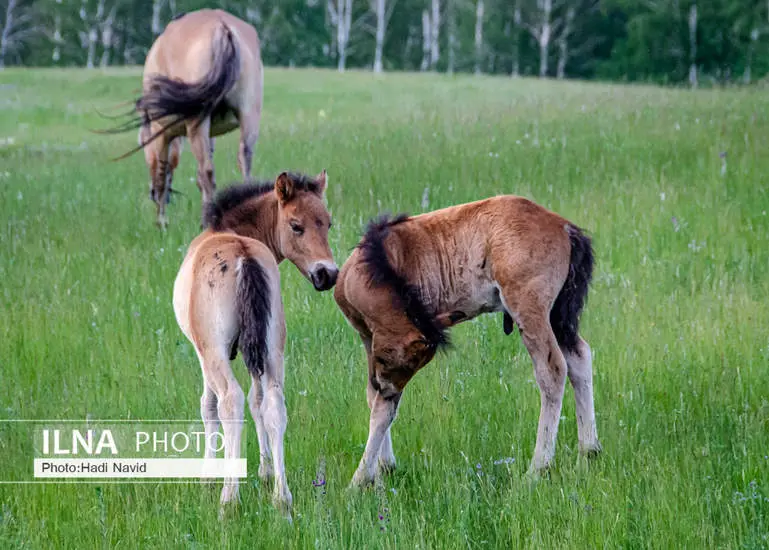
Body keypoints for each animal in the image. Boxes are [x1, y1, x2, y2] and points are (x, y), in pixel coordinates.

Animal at [124, 8, 262, 229]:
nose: (150, 193)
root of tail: (223, 29)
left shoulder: (161, 133)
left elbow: (162, 175)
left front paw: (162, 222)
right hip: (249, 117)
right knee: (245, 162)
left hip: (197, 123)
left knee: (207, 172)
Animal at [176, 172, 338, 516]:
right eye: (296, 225)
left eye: (328, 224)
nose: (328, 274)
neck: (232, 231)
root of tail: (243, 256)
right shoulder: (258, 349)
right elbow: (258, 401)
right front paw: (265, 472)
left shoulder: (202, 351)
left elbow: (209, 406)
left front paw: (207, 478)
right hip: (273, 347)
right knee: (274, 404)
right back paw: (282, 497)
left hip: (216, 353)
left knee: (231, 402)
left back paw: (229, 499)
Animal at [334, 196, 600, 490]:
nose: (390, 388)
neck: (380, 266)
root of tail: (565, 228)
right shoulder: (368, 341)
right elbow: (374, 397)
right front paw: (383, 469)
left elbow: (381, 410)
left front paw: (360, 480)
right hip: (560, 317)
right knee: (580, 357)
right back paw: (589, 453)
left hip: (530, 311)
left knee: (552, 370)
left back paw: (537, 469)